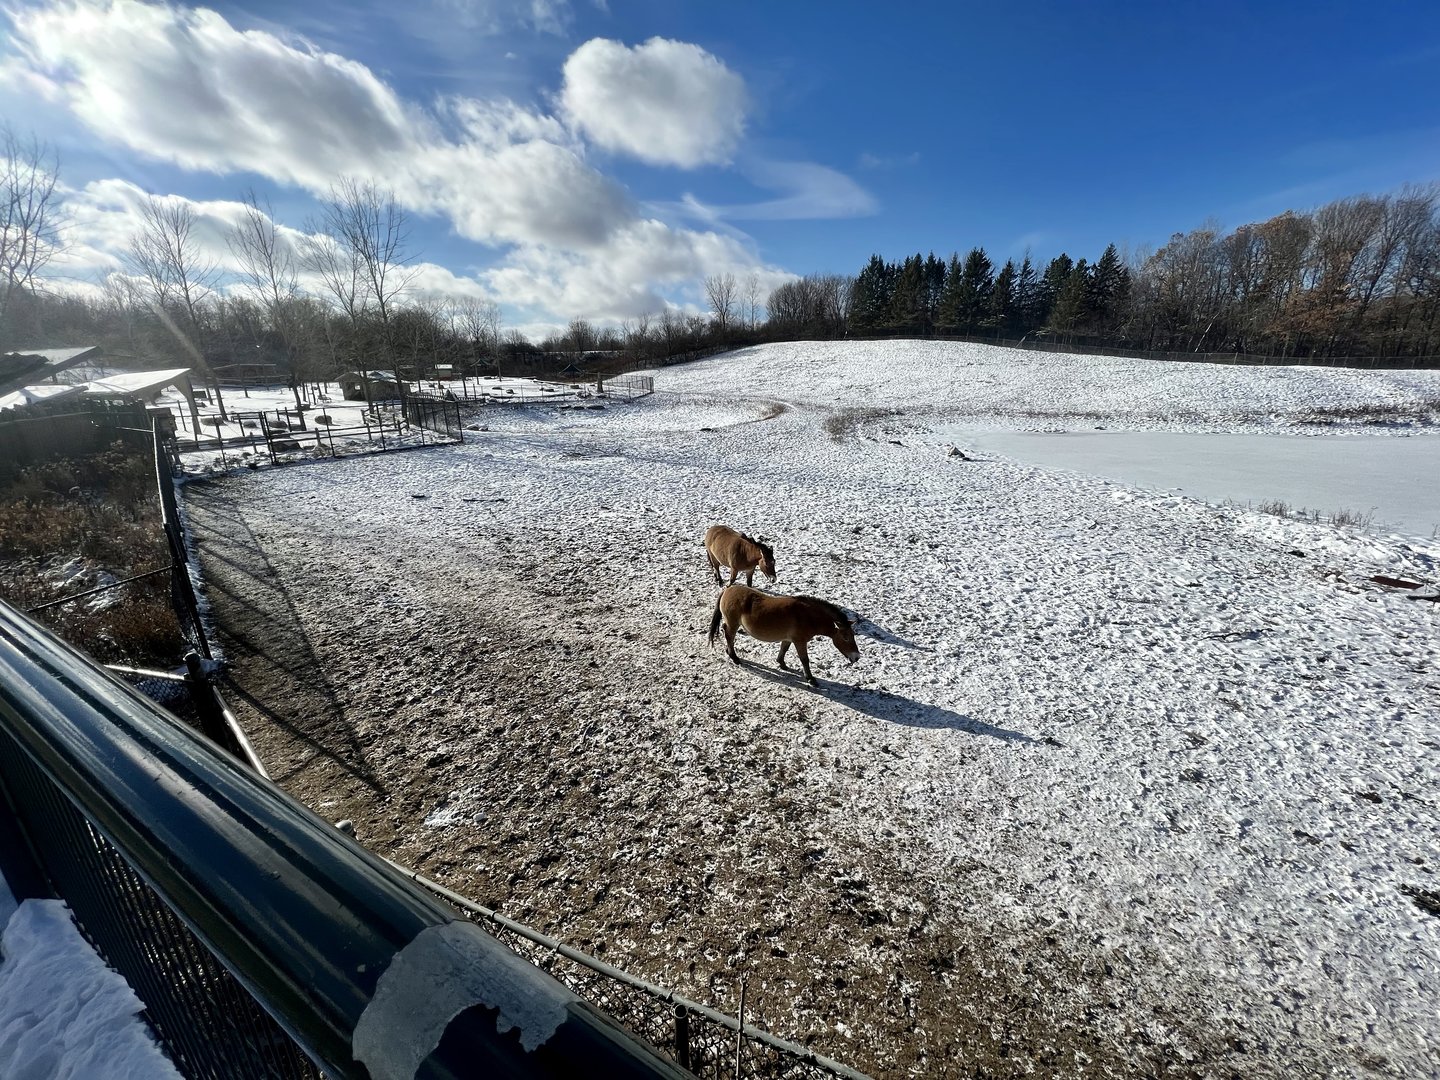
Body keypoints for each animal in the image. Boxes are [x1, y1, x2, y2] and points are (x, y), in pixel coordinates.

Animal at [707, 585, 860, 687]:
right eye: (846, 637)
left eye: (853, 635)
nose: (857, 657)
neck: (808, 615)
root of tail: (727, 590)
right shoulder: (800, 641)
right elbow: (805, 660)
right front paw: (810, 679)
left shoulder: (788, 639)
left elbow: (784, 649)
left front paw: (782, 663)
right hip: (733, 624)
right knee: (730, 637)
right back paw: (734, 657)